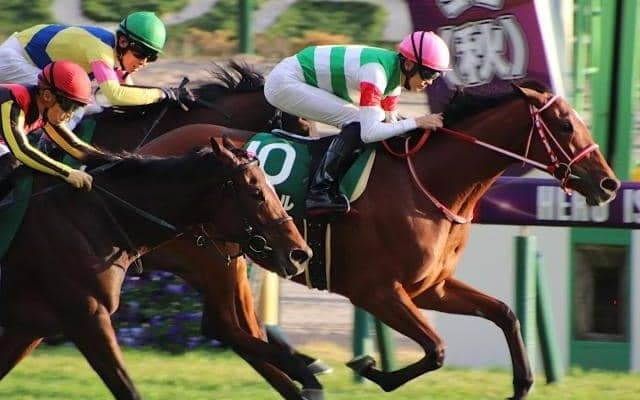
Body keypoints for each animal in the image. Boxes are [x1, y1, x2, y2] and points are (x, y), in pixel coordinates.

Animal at [0, 136, 312, 400]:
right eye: (257, 192)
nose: (300, 254)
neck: (96, 218)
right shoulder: (88, 317)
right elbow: (128, 389)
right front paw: (303, 371)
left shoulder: (31, 328)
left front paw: (303, 370)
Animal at [138, 80, 620, 400]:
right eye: (564, 124)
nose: (610, 184)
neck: (427, 182)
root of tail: (141, 153)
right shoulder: (376, 291)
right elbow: (437, 350)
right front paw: (369, 367)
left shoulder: (430, 288)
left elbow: (504, 313)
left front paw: (522, 383)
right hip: (211, 256)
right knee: (227, 326)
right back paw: (307, 375)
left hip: (233, 258)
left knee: (236, 328)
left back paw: (301, 380)